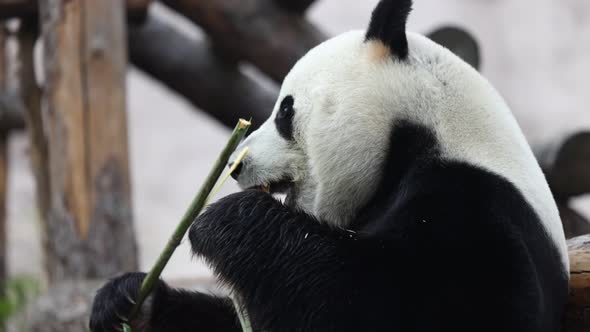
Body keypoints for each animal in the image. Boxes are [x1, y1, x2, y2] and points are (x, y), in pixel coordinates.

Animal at [90, 0, 572, 332]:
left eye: (285, 111)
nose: (235, 163)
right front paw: (129, 301)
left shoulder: (475, 205)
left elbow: (417, 306)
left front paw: (225, 221)